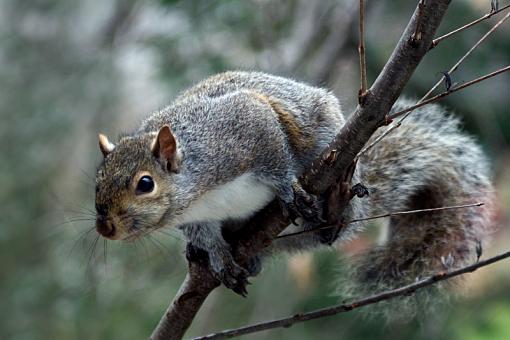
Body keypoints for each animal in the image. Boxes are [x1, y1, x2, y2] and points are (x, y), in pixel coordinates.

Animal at [94, 71, 494, 298]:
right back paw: (208, 255)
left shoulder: (243, 128)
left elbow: (276, 160)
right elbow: (206, 233)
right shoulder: (195, 217)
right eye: (97, 180)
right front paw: (219, 256)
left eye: (145, 184)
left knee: (331, 230)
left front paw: (289, 188)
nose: (104, 227)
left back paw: (334, 207)